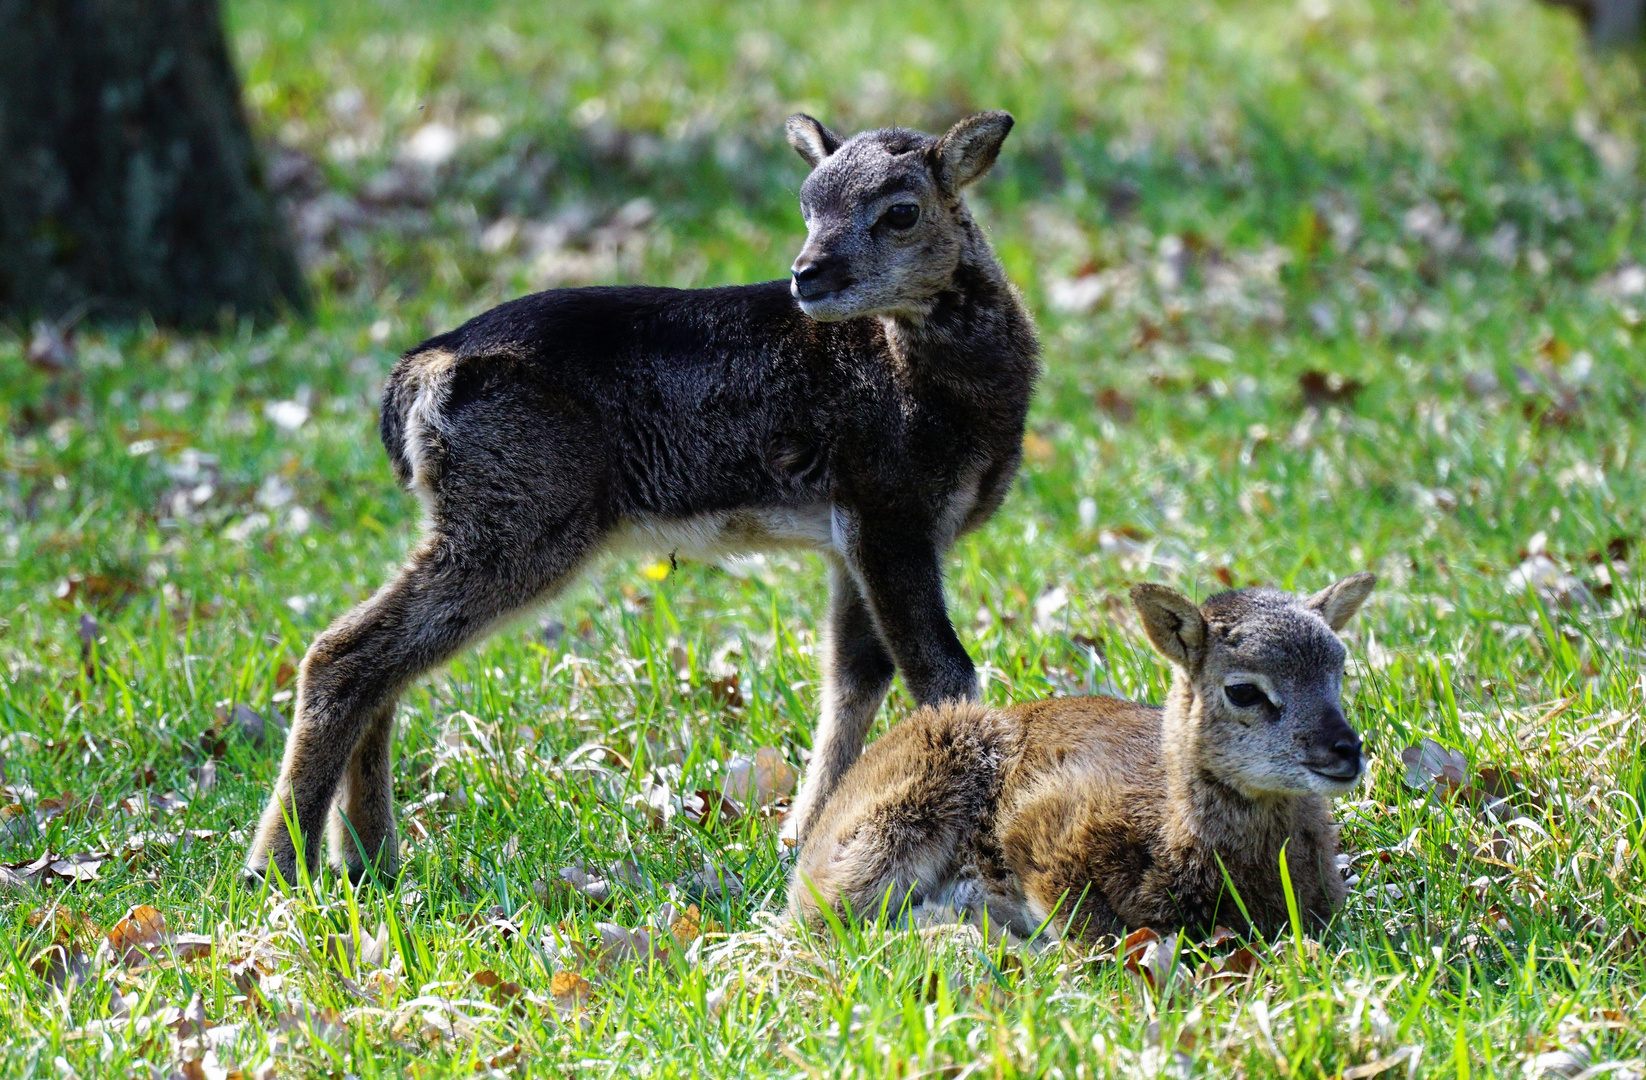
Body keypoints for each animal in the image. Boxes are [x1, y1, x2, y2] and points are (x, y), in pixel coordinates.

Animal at [243, 111, 1040, 889]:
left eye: (902, 211)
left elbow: (853, 677)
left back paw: (365, 858)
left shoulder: (855, 529)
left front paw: (804, 837)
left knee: (384, 654)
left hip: (490, 512)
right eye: (807, 205)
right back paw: (279, 864)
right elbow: (942, 671)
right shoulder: (889, 503)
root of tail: (415, 376)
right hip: (523, 509)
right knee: (349, 648)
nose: (807, 275)